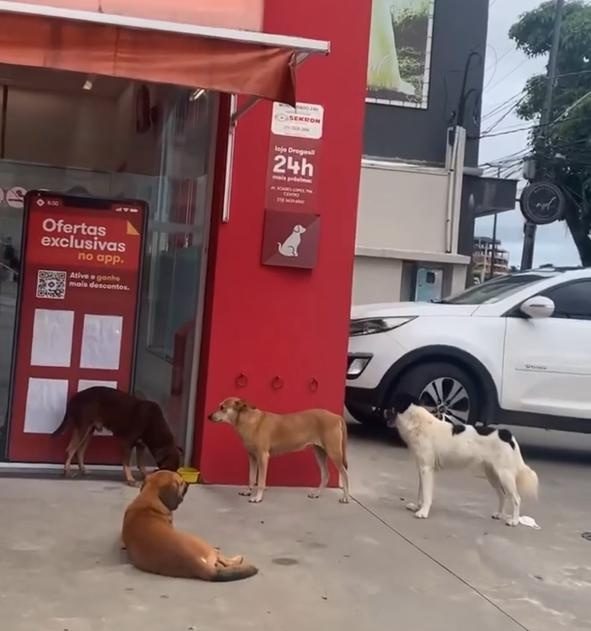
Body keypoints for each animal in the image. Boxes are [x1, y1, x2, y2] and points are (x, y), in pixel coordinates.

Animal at [53, 388, 183, 486]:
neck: (153, 422)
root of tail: (74, 398)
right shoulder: (127, 442)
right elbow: (126, 463)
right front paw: (130, 479)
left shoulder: (140, 445)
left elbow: (141, 464)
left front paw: (146, 476)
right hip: (83, 428)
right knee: (71, 449)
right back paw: (67, 472)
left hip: (90, 430)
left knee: (79, 451)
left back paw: (83, 470)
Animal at [121, 470, 258, 584]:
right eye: (181, 483)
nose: (187, 483)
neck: (149, 498)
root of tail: (195, 563)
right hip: (202, 542)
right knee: (222, 559)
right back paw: (236, 559)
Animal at [208, 400, 350, 504]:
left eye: (222, 407)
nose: (209, 416)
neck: (248, 420)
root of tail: (336, 416)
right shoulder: (252, 457)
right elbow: (251, 477)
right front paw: (248, 491)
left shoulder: (263, 457)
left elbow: (261, 481)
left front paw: (257, 497)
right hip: (319, 452)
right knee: (325, 474)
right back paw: (317, 493)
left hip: (334, 452)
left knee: (344, 473)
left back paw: (346, 497)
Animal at [386, 396, 540, 528]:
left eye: (392, 405)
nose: (383, 411)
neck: (417, 421)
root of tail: (507, 435)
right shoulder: (422, 468)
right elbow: (421, 491)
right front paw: (418, 507)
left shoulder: (427, 469)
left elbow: (427, 493)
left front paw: (423, 512)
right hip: (492, 474)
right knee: (502, 495)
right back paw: (499, 514)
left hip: (505, 475)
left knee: (516, 498)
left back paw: (514, 521)